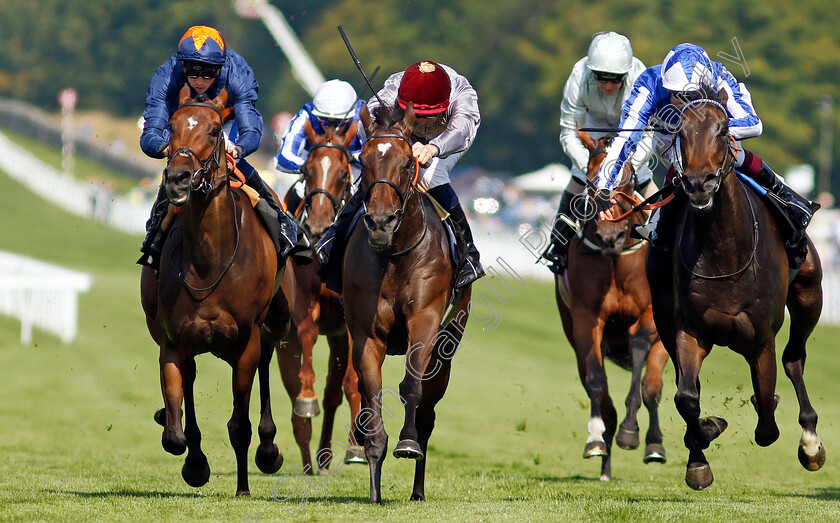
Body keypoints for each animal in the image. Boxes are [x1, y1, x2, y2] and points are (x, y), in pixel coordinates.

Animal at [141, 85, 292, 496]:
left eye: (213, 130)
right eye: (172, 125)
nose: (178, 178)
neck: (211, 258)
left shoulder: (245, 341)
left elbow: (239, 425)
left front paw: (243, 486)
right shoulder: (174, 341)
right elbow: (176, 432)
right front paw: (194, 462)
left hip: (274, 323)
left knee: (267, 363)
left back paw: (268, 450)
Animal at [342, 104, 472, 506]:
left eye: (405, 163)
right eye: (363, 160)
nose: (381, 221)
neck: (396, 255)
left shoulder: (425, 321)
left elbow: (411, 386)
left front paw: (407, 443)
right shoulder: (366, 334)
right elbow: (370, 394)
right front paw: (373, 482)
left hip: (449, 343)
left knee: (428, 411)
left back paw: (418, 489)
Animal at [556, 129, 668, 482]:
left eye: (628, 179)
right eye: (592, 181)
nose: (609, 235)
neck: (617, 259)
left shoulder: (650, 315)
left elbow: (640, 348)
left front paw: (631, 432)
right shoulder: (585, 318)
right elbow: (596, 382)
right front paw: (595, 439)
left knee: (652, 388)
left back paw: (654, 444)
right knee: (605, 397)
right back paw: (605, 462)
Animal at [648, 90, 828, 492]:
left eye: (723, 128)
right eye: (679, 131)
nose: (698, 183)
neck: (723, 251)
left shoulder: (761, 338)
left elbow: (766, 420)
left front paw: (772, 408)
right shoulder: (689, 331)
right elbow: (687, 398)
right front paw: (701, 450)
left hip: (810, 293)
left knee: (794, 358)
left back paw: (810, 442)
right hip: (663, 318)